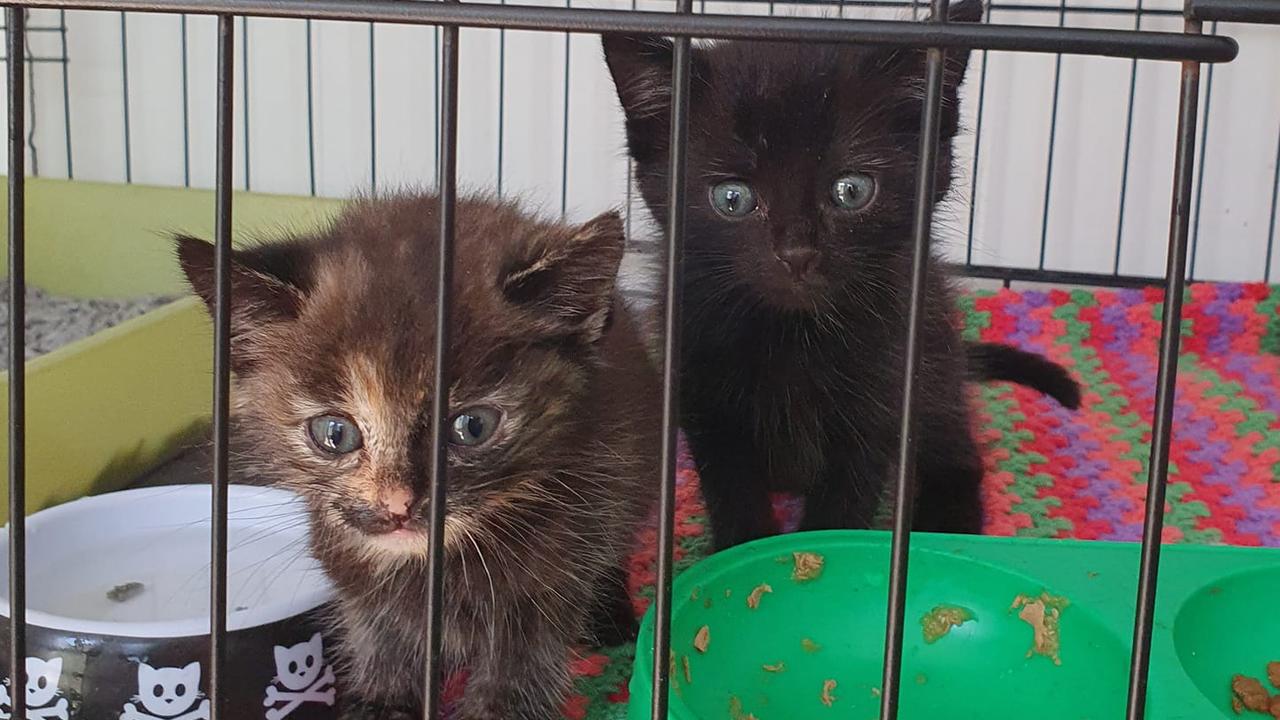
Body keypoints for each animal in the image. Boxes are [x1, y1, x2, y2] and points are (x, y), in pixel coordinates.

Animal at [177, 192, 660, 717]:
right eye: (334, 433)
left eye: (472, 427)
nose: (398, 505)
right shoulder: (356, 579)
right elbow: (381, 640)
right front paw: (380, 700)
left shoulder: (555, 573)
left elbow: (518, 675)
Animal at [601, 0, 1080, 548]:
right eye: (732, 198)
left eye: (851, 191)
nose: (797, 253)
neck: (794, 336)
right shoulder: (702, 394)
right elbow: (732, 491)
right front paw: (742, 551)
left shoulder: (884, 397)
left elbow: (846, 502)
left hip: (934, 358)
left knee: (959, 456)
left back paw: (943, 527)